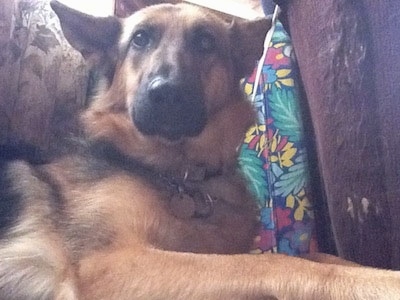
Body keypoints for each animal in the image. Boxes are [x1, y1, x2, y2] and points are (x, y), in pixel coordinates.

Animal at [0, 1, 400, 298]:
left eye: (206, 42)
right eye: (140, 39)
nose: (165, 93)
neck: (181, 176)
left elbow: (315, 253)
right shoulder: (109, 264)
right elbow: (271, 262)